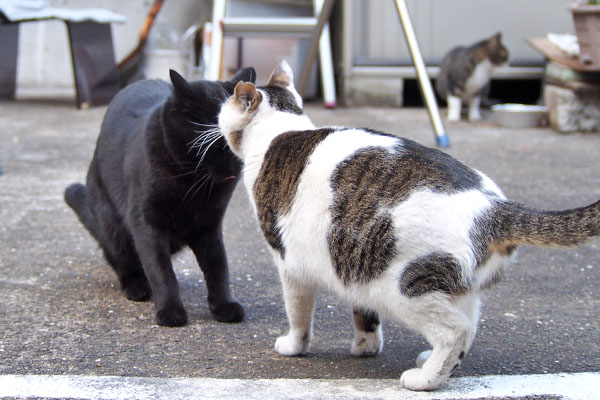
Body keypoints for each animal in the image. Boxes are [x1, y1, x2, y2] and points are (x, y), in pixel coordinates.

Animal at [65, 68, 255, 324]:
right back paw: (136, 287)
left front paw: (224, 305)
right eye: (215, 143)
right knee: (120, 258)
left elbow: (218, 267)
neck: (193, 184)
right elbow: (161, 271)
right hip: (111, 222)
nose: (235, 166)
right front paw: (170, 311)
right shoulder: (146, 225)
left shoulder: (210, 226)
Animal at [218, 62, 596, 390]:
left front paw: (294, 346)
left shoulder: (290, 263)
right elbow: (364, 314)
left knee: (455, 331)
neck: (283, 131)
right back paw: (433, 363)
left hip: (404, 286)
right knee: (469, 327)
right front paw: (366, 347)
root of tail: (494, 208)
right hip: (439, 284)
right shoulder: (352, 264)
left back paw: (424, 380)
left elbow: (298, 314)